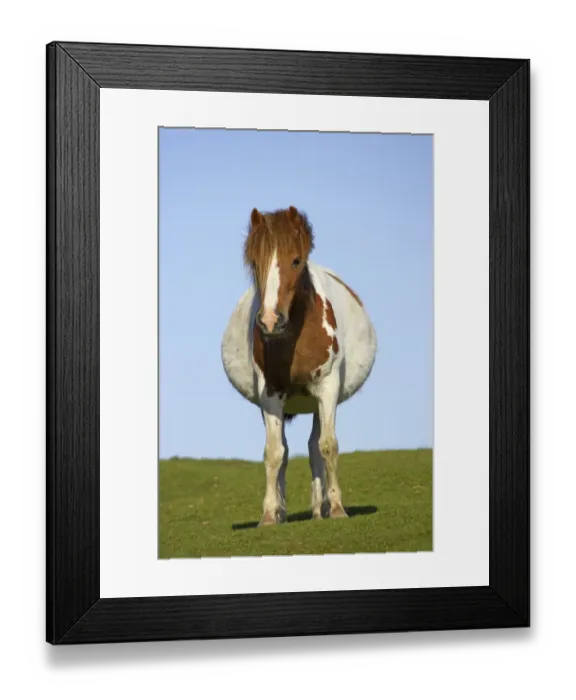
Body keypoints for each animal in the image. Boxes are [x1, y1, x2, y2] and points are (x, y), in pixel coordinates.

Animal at [221, 206, 377, 527]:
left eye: (296, 260)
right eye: (255, 261)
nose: (270, 321)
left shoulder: (327, 388)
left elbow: (328, 446)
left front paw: (338, 508)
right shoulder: (270, 394)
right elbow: (274, 452)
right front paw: (270, 514)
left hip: (320, 401)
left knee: (315, 446)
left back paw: (322, 509)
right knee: (286, 448)